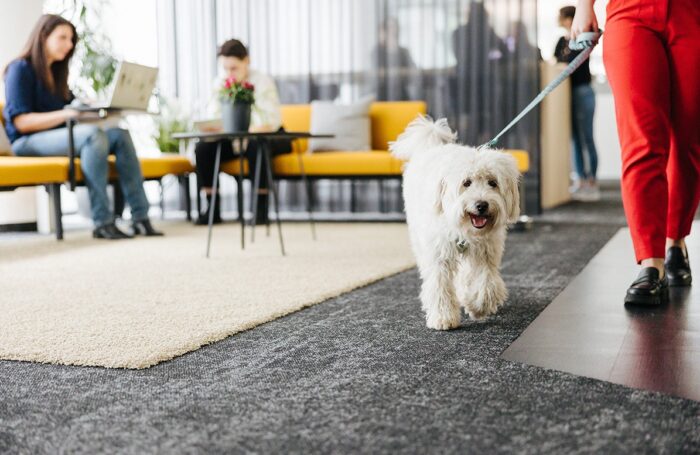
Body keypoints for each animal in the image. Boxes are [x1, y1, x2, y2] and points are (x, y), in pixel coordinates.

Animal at [392, 116, 524, 332]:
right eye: (466, 182)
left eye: (493, 183)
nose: (481, 205)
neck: (465, 231)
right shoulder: (439, 253)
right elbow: (440, 284)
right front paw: (443, 318)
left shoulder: (486, 252)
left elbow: (486, 282)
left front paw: (477, 306)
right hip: (419, 238)